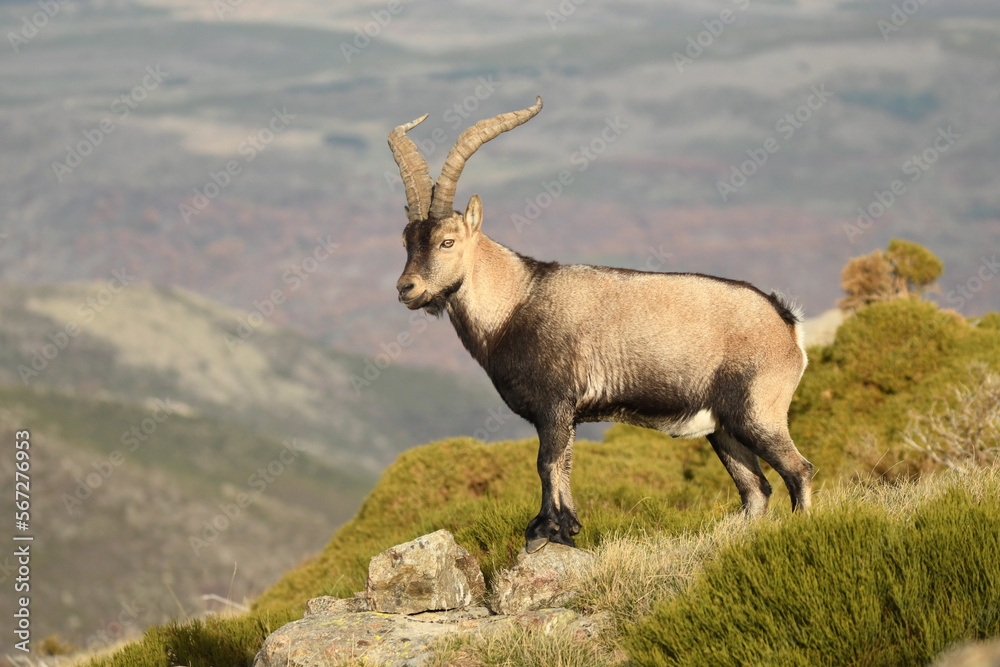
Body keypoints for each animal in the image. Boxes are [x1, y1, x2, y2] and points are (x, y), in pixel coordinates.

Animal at [388, 95, 812, 552]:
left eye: (447, 241)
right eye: (406, 240)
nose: (407, 288)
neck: (516, 300)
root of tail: (786, 322)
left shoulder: (554, 403)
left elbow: (547, 463)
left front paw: (543, 531)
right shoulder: (567, 414)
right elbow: (564, 464)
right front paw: (566, 528)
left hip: (759, 411)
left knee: (798, 471)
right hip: (725, 429)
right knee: (756, 490)